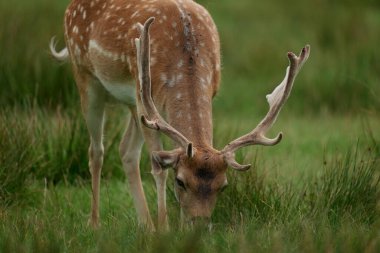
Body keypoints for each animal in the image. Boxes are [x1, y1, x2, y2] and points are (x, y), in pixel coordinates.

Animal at [50, 0, 310, 231]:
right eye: (181, 181)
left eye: (223, 186)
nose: (199, 225)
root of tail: (70, 6)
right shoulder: (146, 97)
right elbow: (158, 167)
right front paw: (165, 229)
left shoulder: (202, 93)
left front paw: (168, 228)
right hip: (86, 77)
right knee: (96, 151)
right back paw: (95, 224)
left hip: (133, 106)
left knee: (126, 150)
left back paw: (146, 225)